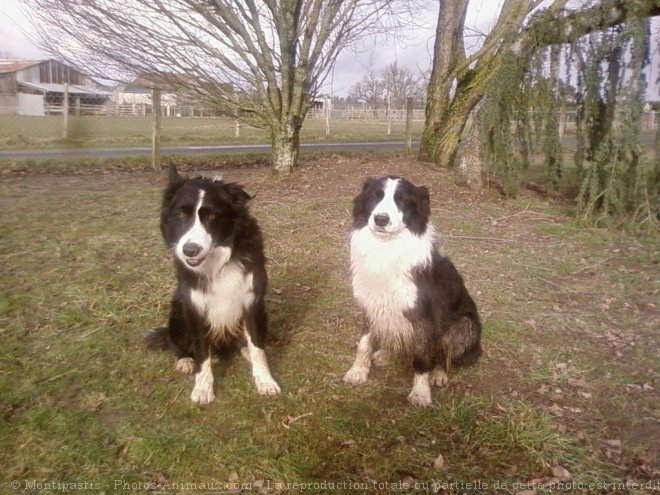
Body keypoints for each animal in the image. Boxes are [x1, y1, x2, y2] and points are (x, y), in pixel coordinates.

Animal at [147, 165, 282, 404]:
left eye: (211, 215)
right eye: (181, 214)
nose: (190, 251)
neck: (218, 259)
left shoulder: (252, 301)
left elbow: (258, 347)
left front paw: (265, 381)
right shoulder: (195, 307)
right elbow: (202, 353)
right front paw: (202, 389)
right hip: (177, 313)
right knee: (176, 342)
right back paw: (185, 360)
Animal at [346, 177, 480, 406]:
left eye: (402, 200)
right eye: (375, 196)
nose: (381, 219)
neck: (386, 247)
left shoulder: (424, 316)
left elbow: (422, 356)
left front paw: (420, 392)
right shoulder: (370, 304)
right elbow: (364, 342)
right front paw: (358, 371)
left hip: (464, 325)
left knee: (443, 353)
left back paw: (438, 373)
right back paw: (387, 354)